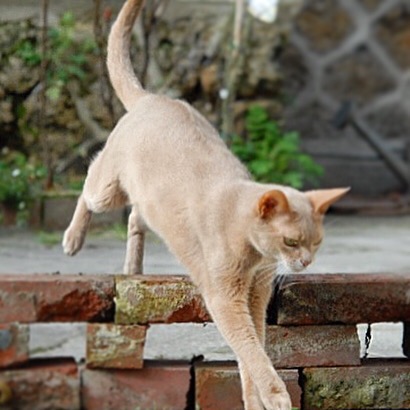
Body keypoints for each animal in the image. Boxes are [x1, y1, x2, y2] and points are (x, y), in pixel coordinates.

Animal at [63, 1, 350, 408]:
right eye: (292, 242)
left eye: (317, 244)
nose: (306, 263)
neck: (253, 252)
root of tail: (152, 97)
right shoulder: (224, 298)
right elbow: (253, 353)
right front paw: (276, 397)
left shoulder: (255, 296)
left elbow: (251, 353)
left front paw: (254, 400)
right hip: (106, 189)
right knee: (87, 187)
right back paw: (73, 239)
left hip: (149, 202)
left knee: (136, 216)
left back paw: (133, 268)